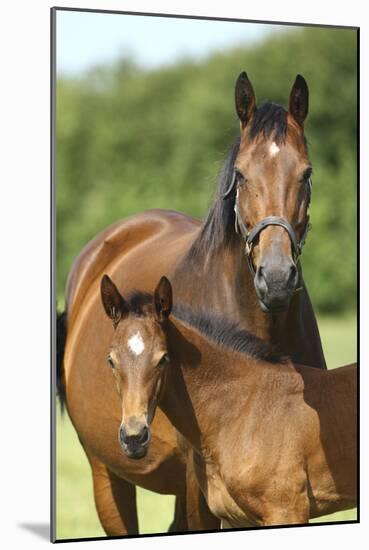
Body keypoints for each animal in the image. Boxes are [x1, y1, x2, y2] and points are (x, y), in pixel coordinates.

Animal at [99, 276, 356, 532]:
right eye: (111, 360)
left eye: (163, 358)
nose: (134, 438)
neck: (239, 410)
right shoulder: (235, 517)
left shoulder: (287, 509)